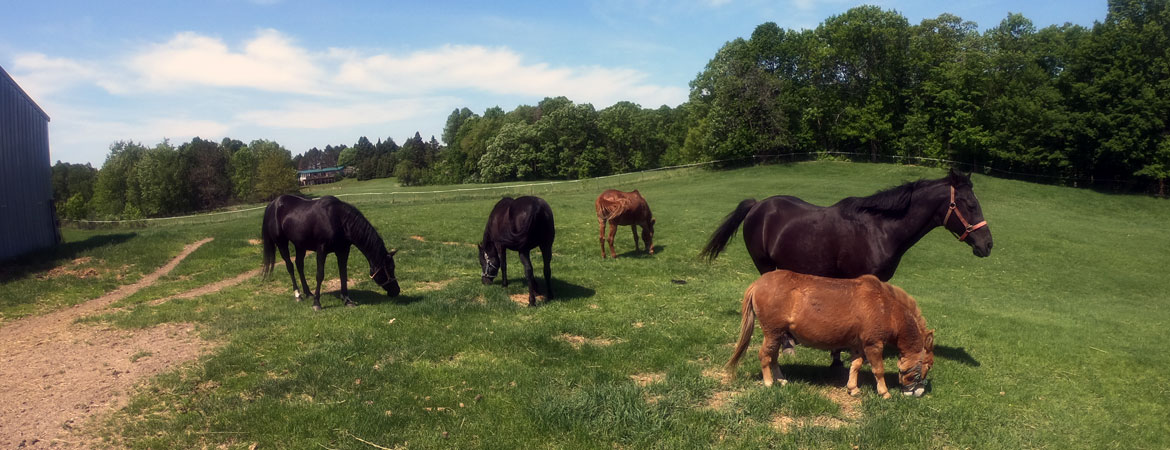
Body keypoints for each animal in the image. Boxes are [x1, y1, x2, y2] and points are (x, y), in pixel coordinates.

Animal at [261, 195, 400, 310]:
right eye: (389, 269)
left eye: (393, 267)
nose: (396, 291)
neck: (338, 219)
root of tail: (273, 204)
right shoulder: (321, 251)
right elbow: (320, 275)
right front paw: (317, 303)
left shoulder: (343, 251)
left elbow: (343, 273)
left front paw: (347, 300)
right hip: (282, 244)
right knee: (290, 266)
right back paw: (298, 295)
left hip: (300, 245)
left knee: (299, 265)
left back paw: (308, 293)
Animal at [726, 270, 935, 398]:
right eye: (928, 365)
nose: (919, 392)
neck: (888, 310)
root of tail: (757, 284)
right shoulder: (873, 343)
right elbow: (878, 369)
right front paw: (884, 392)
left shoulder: (858, 344)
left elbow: (856, 365)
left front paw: (853, 388)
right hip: (772, 331)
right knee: (764, 355)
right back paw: (769, 382)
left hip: (778, 334)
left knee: (774, 356)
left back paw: (781, 379)